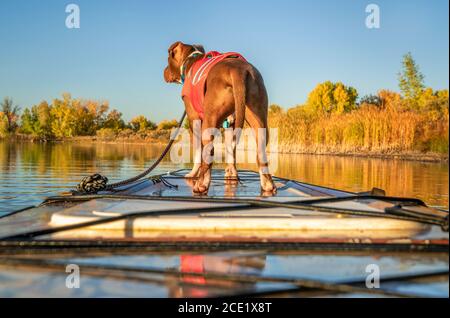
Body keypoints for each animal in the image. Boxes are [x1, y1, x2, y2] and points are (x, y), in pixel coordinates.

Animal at [163, 41, 276, 195]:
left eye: (168, 58)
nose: (164, 72)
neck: (190, 61)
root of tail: (238, 70)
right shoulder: (230, 123)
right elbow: (230, 150)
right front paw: (231, 174)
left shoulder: (194, 120)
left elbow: (198, 152)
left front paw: (192, 173)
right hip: (258, 115)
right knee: (261, 153)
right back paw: (268, 185)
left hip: (209, 120)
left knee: (209, 152)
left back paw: (201, 184)